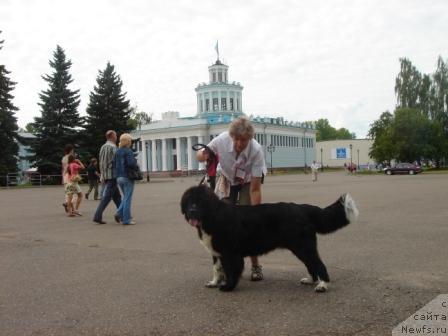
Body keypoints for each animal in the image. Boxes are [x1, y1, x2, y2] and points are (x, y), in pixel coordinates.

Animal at [180, 185, 358, 292]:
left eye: (200, 202)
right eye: (189, 202)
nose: (192, 211)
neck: (213, 216)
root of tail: (303, 208)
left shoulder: (230, 252)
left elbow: (231, 271)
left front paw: (228, 287)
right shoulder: (216, 252)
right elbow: (216, 269)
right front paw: (214, 283)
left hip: (303, 246)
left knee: (319, 264)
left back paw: (322, 285)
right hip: (302, 247)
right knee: (312, 265)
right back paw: (310, 280)